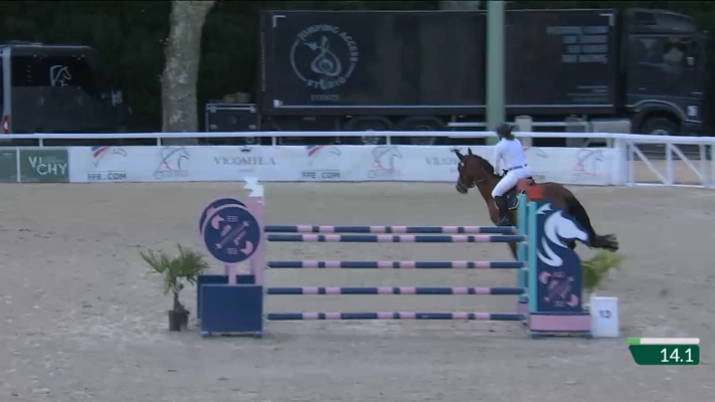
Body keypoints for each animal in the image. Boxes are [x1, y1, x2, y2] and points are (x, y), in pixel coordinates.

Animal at [453, 148, 619, 259]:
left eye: (460, 167)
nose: (459, 187)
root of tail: (566, 194)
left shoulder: (507, 230)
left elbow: (515, 251)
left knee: (568, 244)